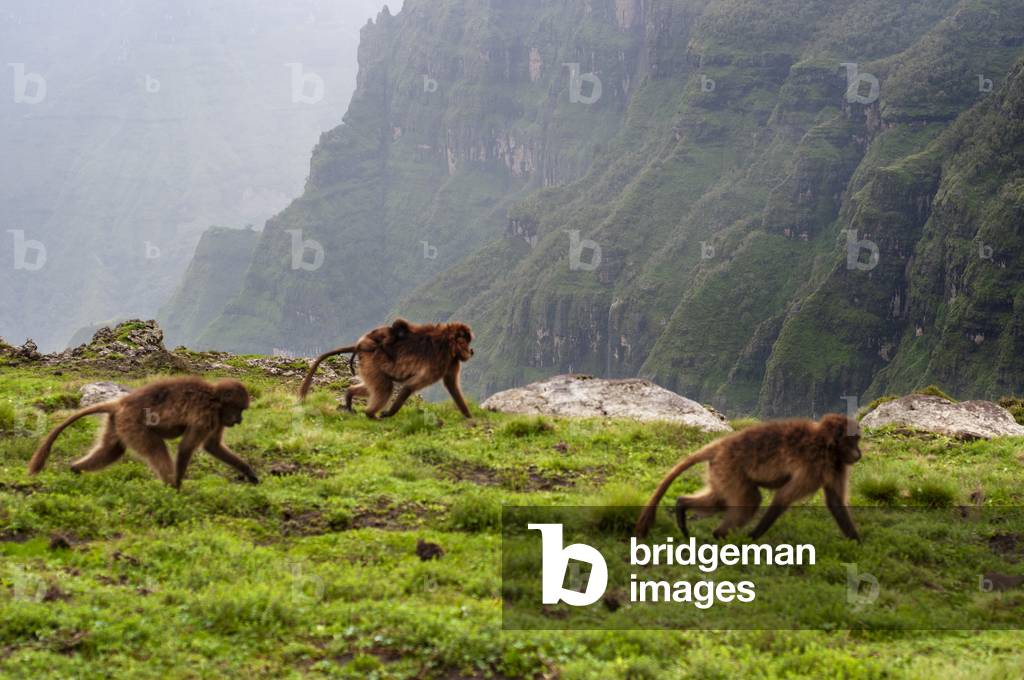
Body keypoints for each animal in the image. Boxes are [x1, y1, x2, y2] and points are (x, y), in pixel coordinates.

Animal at [28, 376, 258, 489]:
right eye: (240, 409)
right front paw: (178, 486)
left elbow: (213, 446)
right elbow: (186, 447)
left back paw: (75, 470)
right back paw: (170, 486)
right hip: (133, 423)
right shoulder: (207, 415)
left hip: (119, 424)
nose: (239, 420)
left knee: (111, 450)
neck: (215, 398)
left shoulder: (218, 419)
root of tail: (120, 403)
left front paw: (249, 473)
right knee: (156, 447)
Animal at [300, 319, 474, 419]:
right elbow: (409, 387)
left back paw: (350, 395)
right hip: (372, 363)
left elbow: (452, 386)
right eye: (466, 342)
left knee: (376, 386)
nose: (471, 351)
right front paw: (389, 413)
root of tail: (361, 346)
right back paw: (370, 414)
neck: (447, 342)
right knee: (385, 388)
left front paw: (469, 416)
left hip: (368, 365)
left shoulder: (451, 361)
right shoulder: (440, 360)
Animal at [634, 414, 861, 541]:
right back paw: (720, 535)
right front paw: (753, 536)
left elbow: (835, 502)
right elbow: (783, 498)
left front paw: (856, 542)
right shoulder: (813, 466)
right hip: (729, 469)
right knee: (750, 501)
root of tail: (720, 445)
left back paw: (683, 506)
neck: (826, 443)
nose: (859, 454)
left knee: (720, 499)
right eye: (855, 440)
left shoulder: (837, 465)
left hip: (720, 471)